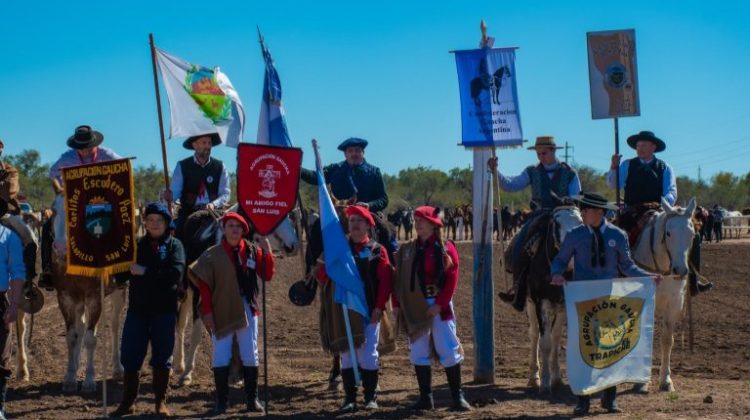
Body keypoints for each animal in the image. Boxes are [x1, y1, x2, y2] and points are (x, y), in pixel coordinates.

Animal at [50, 195, 127, 392]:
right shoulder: (66, 297)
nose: (60, 247)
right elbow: (72, 336)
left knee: (114, 325)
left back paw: (117, 368)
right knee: (81, 327)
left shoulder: (94, 297)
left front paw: (90, 380)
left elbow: (91, 339)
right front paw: (70, 377)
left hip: (118, 293)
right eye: (53, 210)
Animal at [524, 203, 588, 394]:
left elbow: (556, 340)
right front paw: (545, 383)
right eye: (556, 223)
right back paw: (534, 377)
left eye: (580, 221)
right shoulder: (542, 304)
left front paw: (557, 379)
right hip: (530, 305)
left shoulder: (564, 307)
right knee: (534, 335)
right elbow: (545, 343)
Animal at [632, 199, 696, 392]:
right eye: (668, 233)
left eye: (692, 233)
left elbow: (667, 340)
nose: (680, 270)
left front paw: (666, 380)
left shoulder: (674, 304)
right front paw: (641, 382)